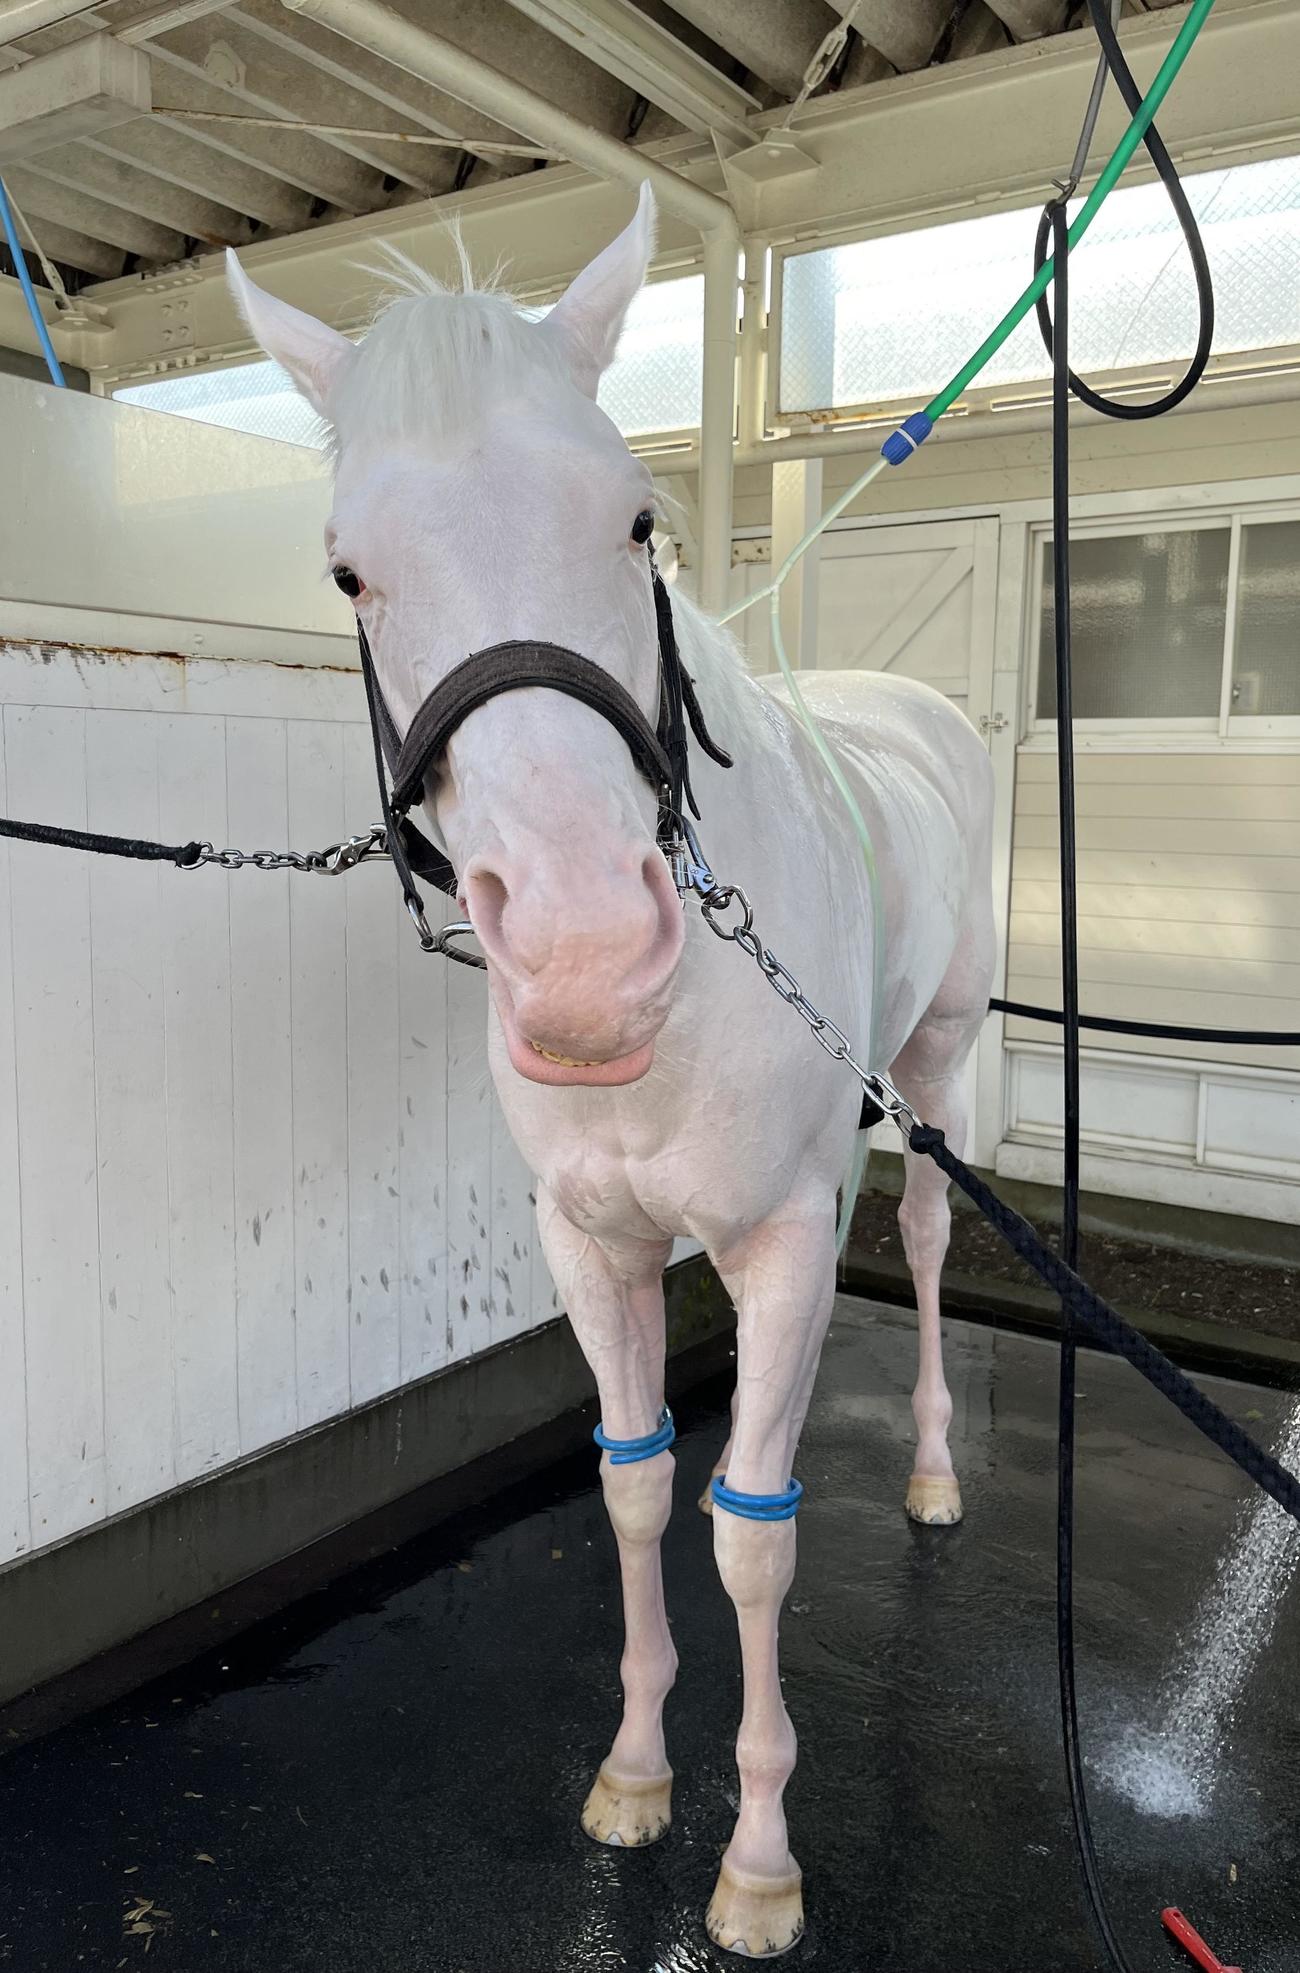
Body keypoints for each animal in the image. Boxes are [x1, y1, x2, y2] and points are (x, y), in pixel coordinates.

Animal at [228, 182, 995, 1959]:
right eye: (348, 571)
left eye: (641, 521)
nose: (584, 955)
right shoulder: (591, 1244)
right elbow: (641, 1495)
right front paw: (639, 1773)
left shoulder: (778, 1243)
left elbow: (755, 1537)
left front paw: (762, 1861)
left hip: (944, 1062)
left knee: (929, 1240)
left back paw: (933, 1473)